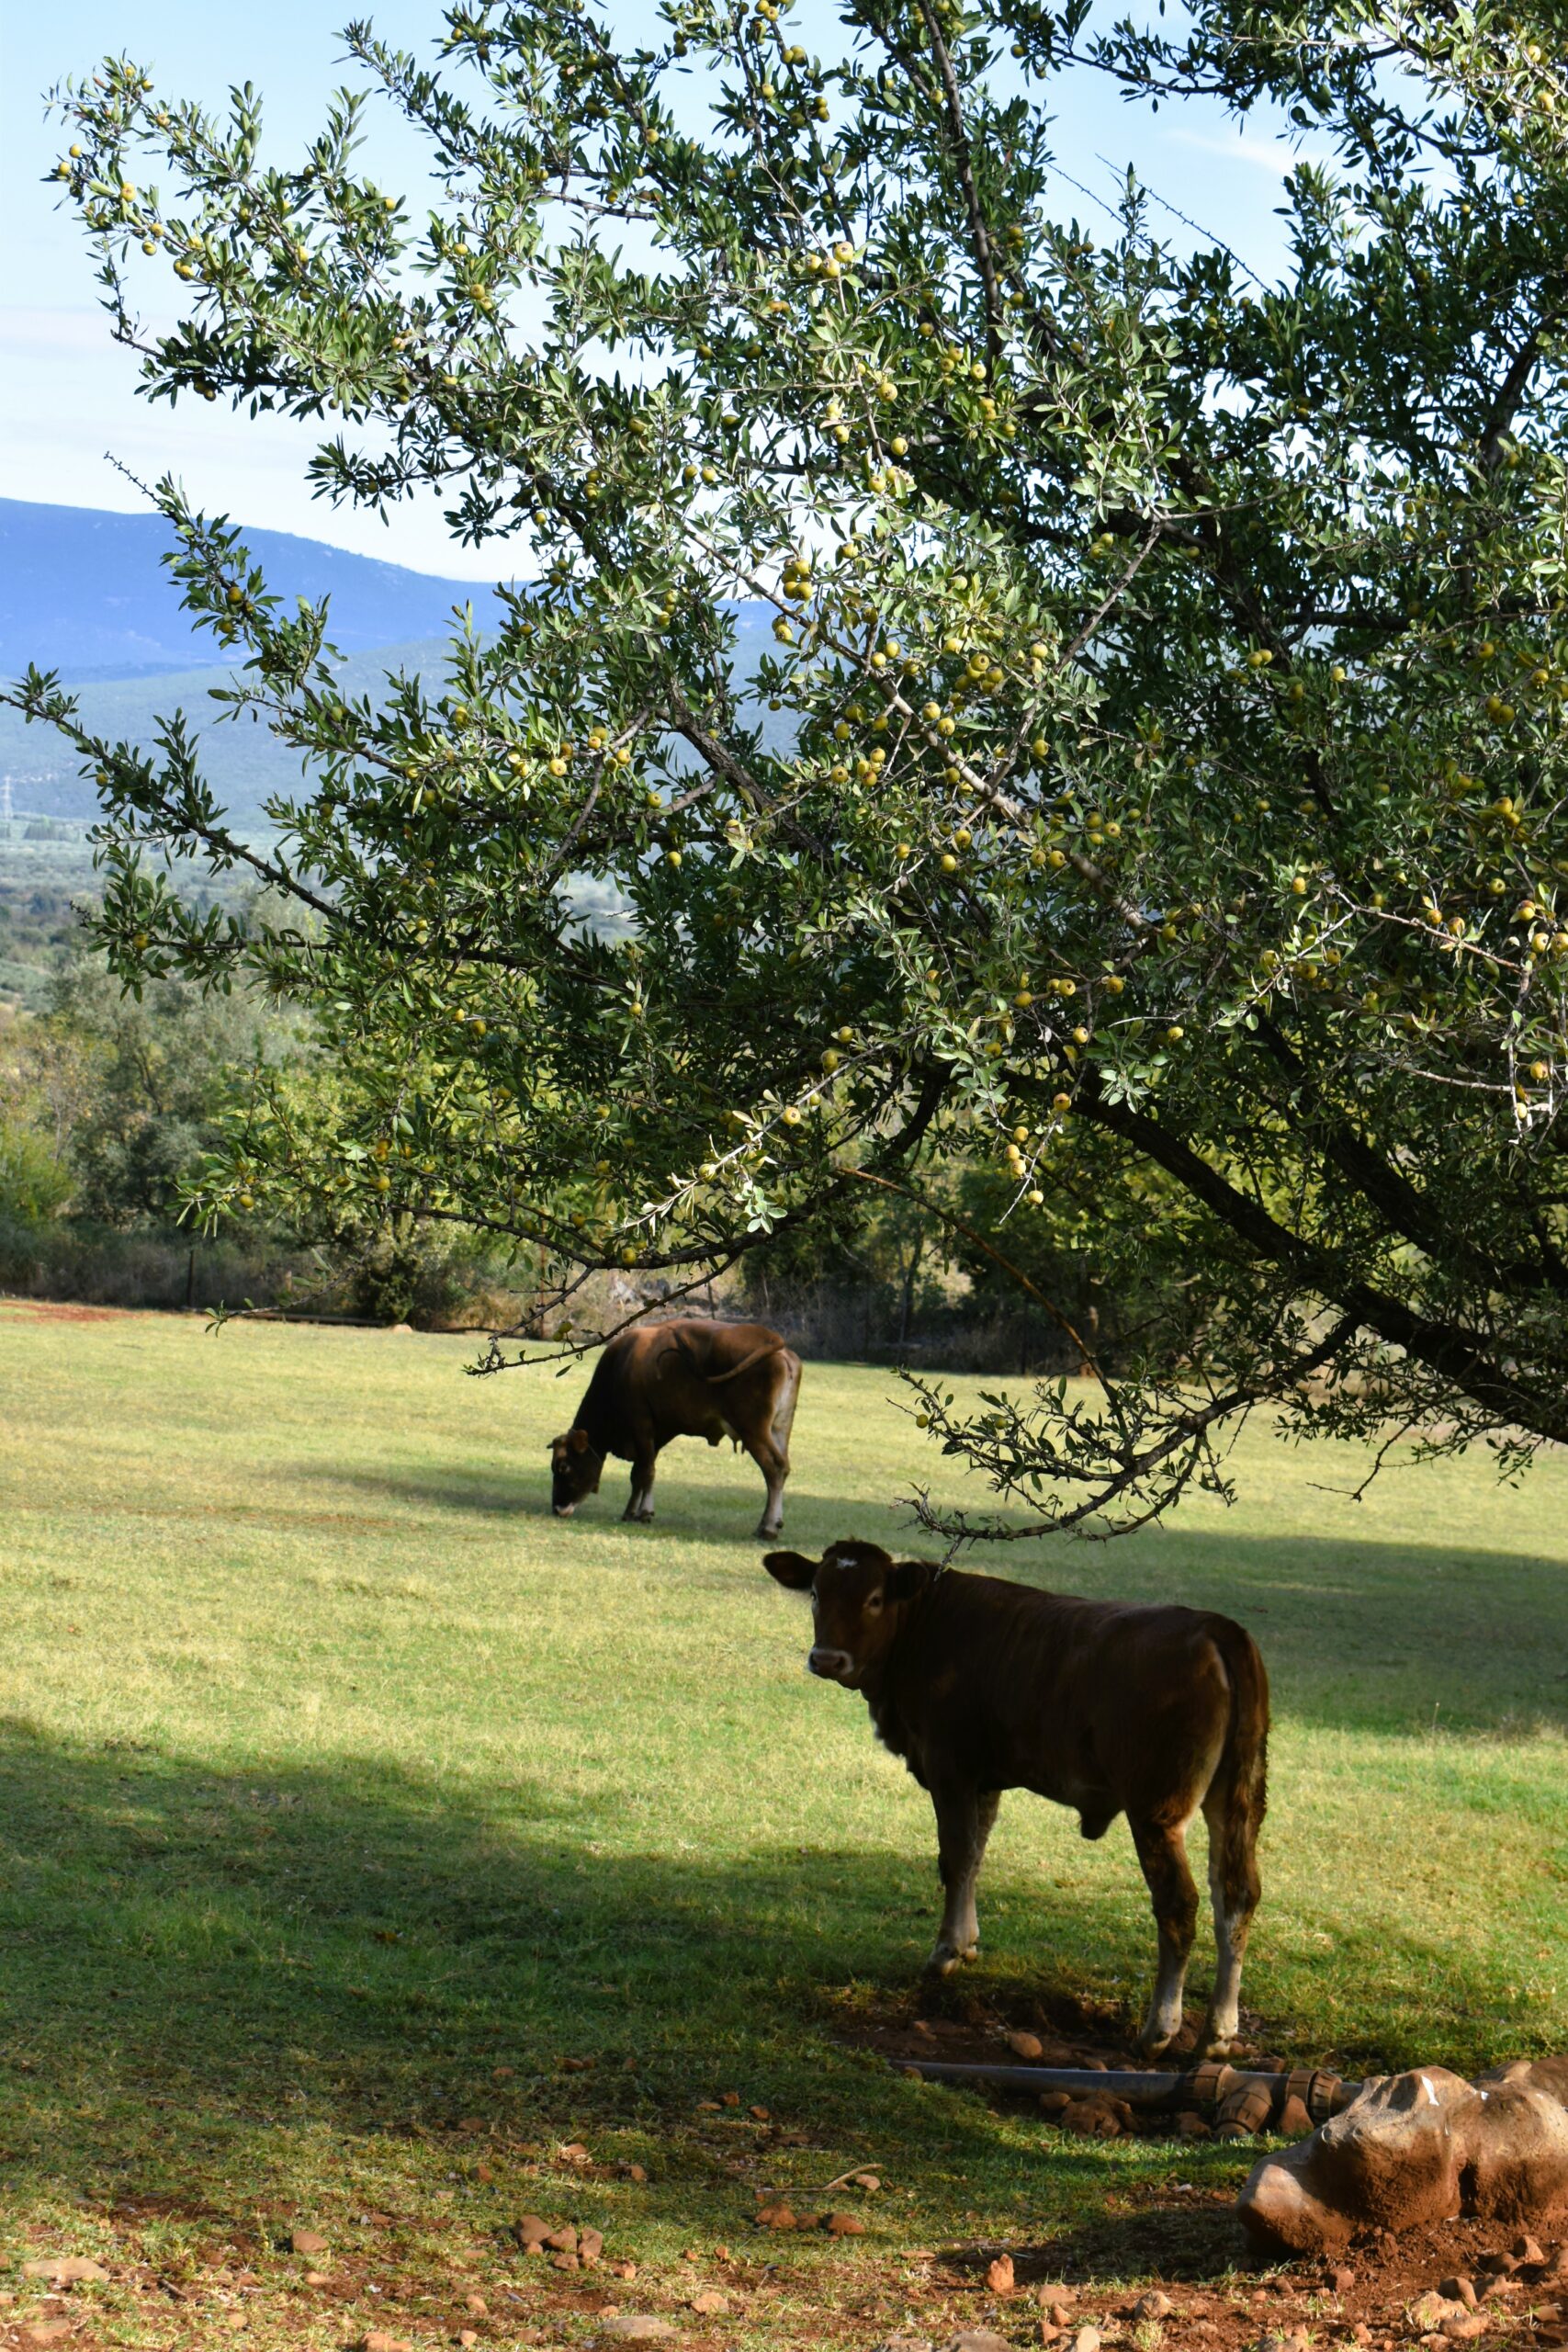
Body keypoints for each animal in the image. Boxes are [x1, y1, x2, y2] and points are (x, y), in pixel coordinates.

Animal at [550, 1318, 802, 1536]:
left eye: (564, 1466)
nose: (557, 1508)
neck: (621, 1365)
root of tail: (777, 1346)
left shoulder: (641, 1425)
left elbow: (645, 1472)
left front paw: (642, 1512)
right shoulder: (658, 1433)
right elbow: (639, 1474)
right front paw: (632, 1511)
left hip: (753, 1431)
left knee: (774, 1468)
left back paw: (768, 1527)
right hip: (779, 1429)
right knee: (784, 1467)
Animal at [762, 1537, 1268, 2058]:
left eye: (875, 1599)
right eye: (816, 1594)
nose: (827, 1659)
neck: (923, 1625)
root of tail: (1215, 1627)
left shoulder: (949, 1766)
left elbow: (955, 1856)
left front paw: (945, 1952)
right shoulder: (984, 1780)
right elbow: (975, 1855)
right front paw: (968, 1942)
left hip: (1157, 1809)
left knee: (1178, 1904)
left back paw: (1159, 2030)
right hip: (1239, 1801)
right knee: (1236, 1897)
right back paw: (1217, 2032)